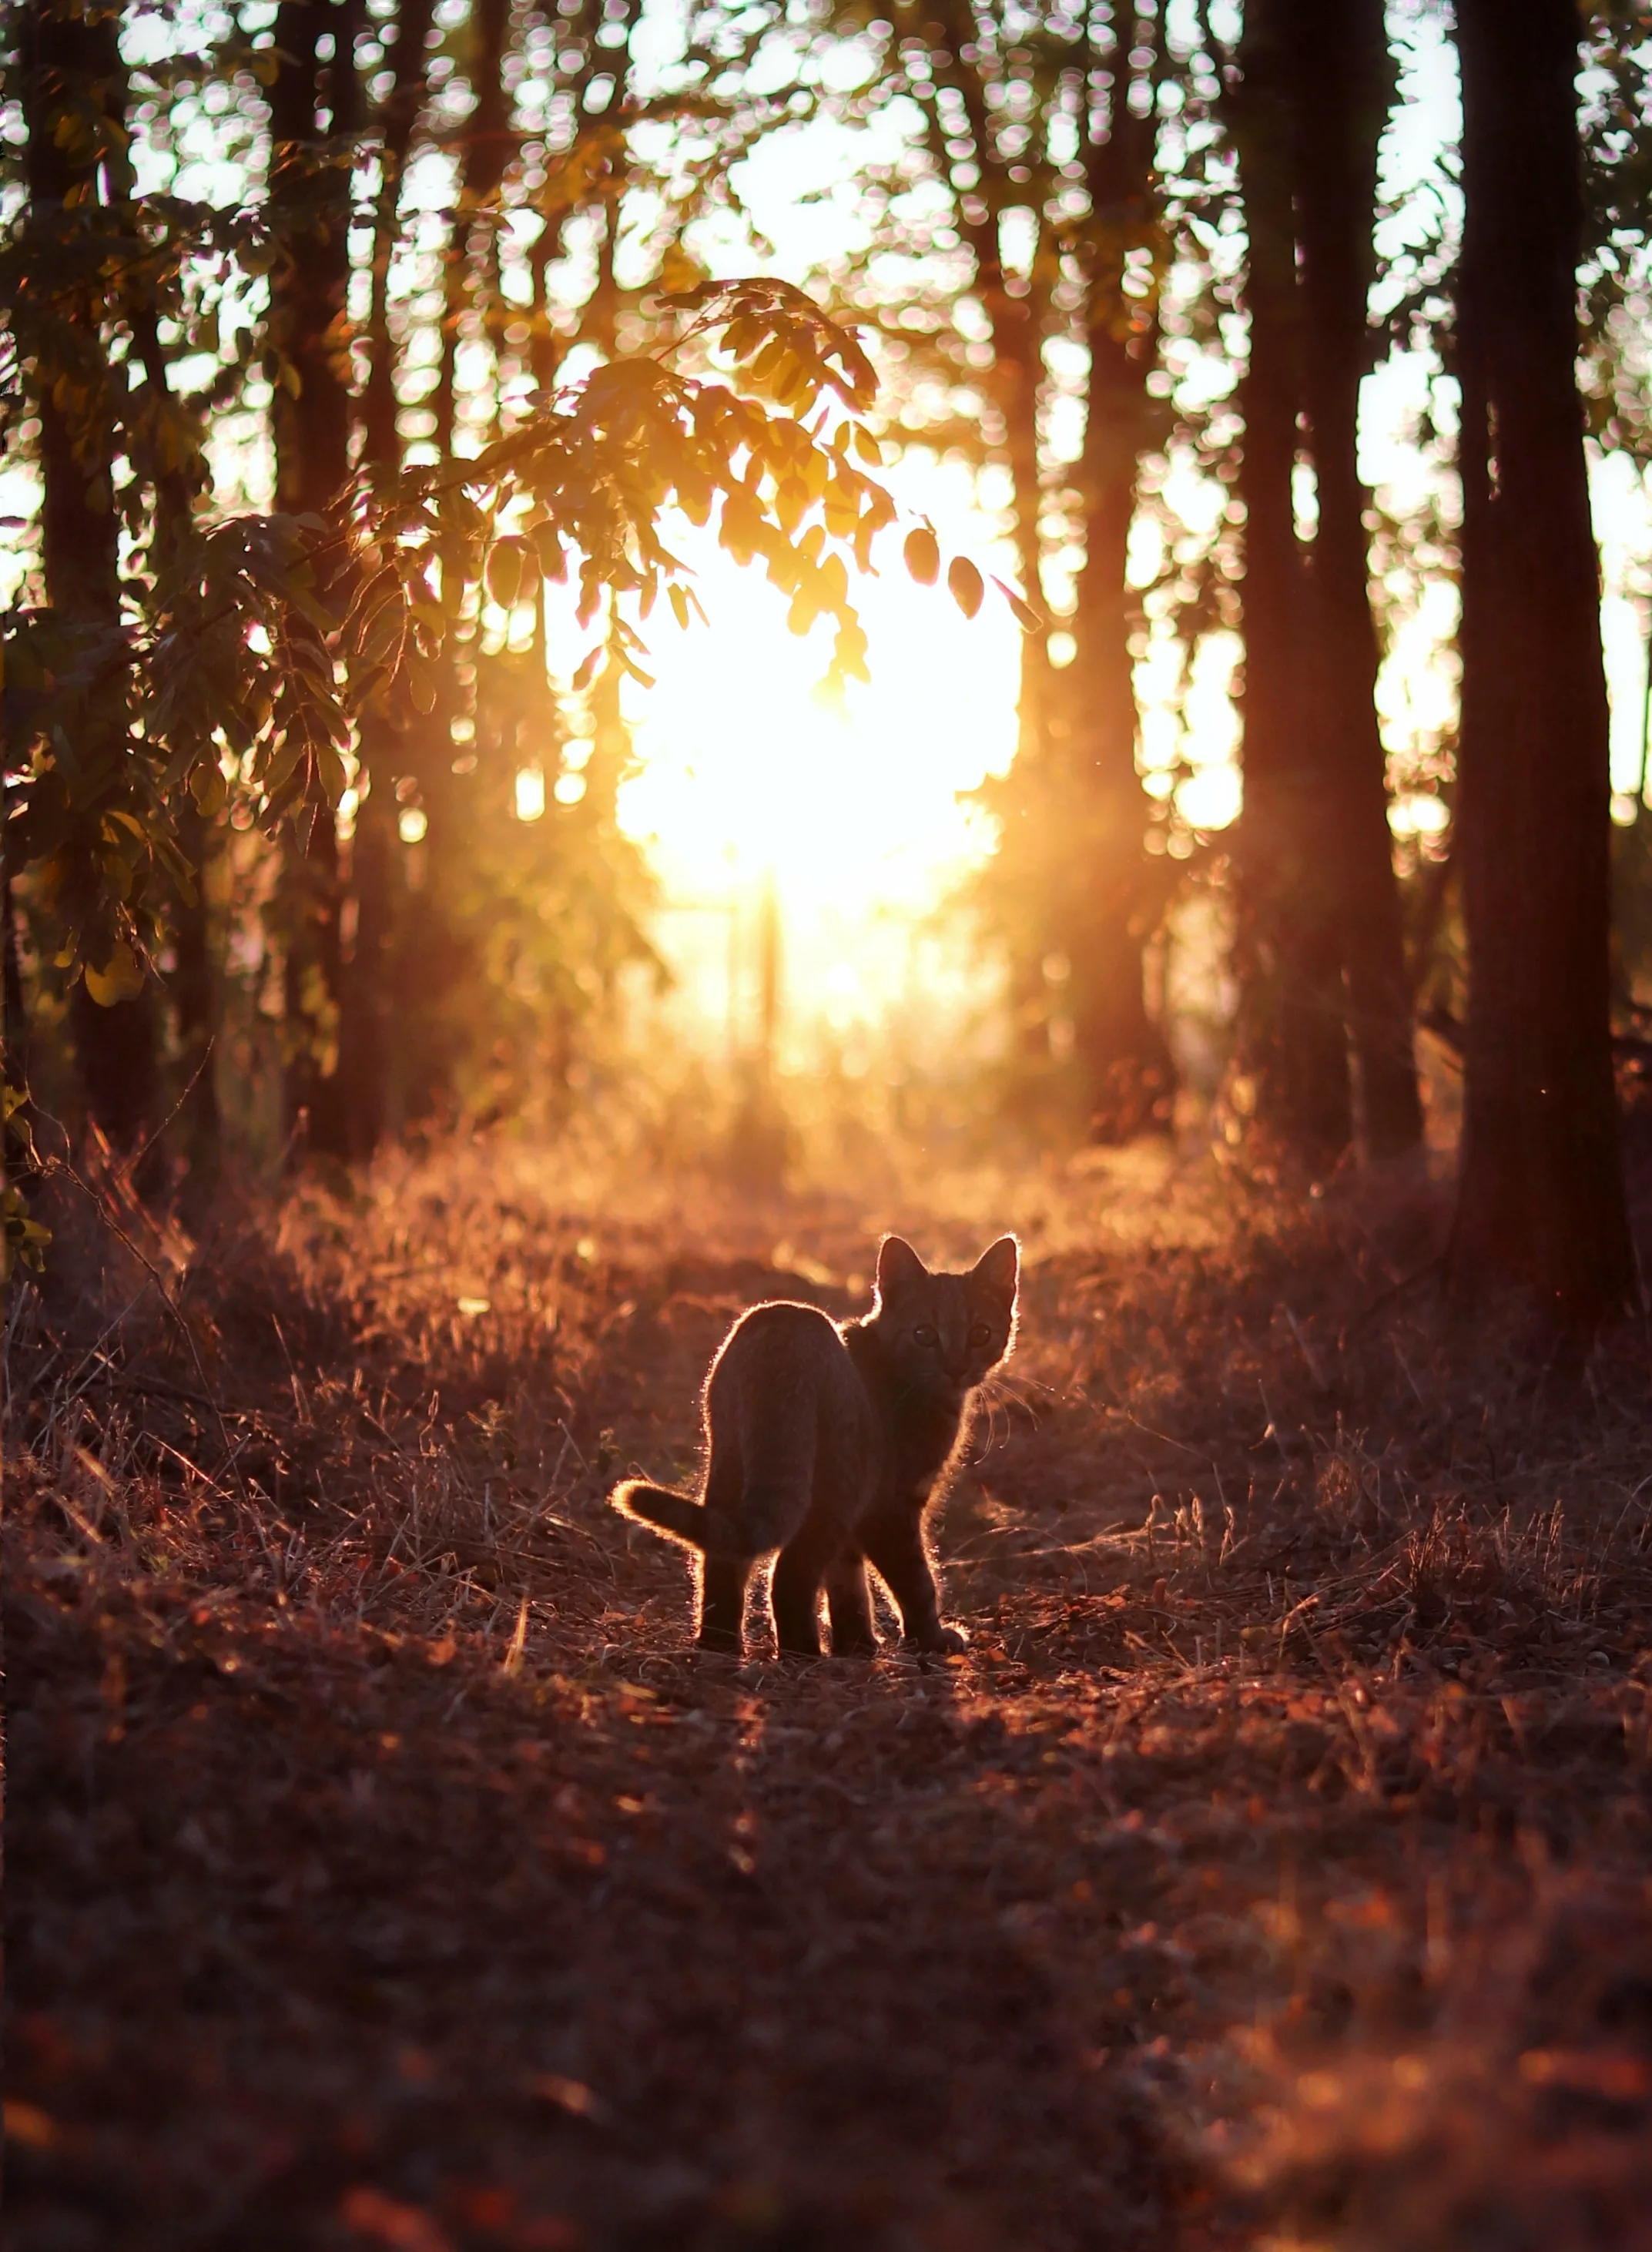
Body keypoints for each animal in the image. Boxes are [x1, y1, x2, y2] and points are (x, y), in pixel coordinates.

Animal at [612, 1234, 1021, 1657]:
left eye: (980, 1334)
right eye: (924, 1334)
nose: (956, 1368)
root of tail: (782, 1334)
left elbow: (846, 1580)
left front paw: (855, 1644)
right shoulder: (890, 1507)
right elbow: (915, 1581)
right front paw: (930, 1639)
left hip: (730, 1460)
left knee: (723, 1556)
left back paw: (720, 1644)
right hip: (840, 1482)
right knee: (789, 1572)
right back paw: (802, 1652)